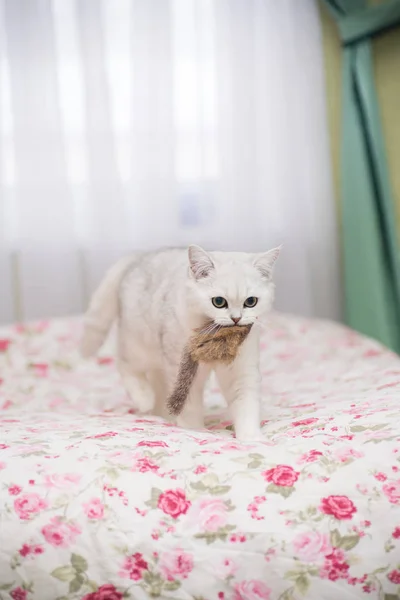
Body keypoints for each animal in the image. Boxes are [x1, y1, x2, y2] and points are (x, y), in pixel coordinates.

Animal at [81, 245, 280, 440]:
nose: (236, 319)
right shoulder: (181, 369)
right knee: (125, 365)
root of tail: (138, 257)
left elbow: (246, 405)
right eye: (218, 302)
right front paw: (196, 431)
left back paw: (161, 414)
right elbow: (189, 405)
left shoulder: (241, 370)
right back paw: (145, 399)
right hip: (139, 344)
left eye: (251, 301)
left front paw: (252, 439)